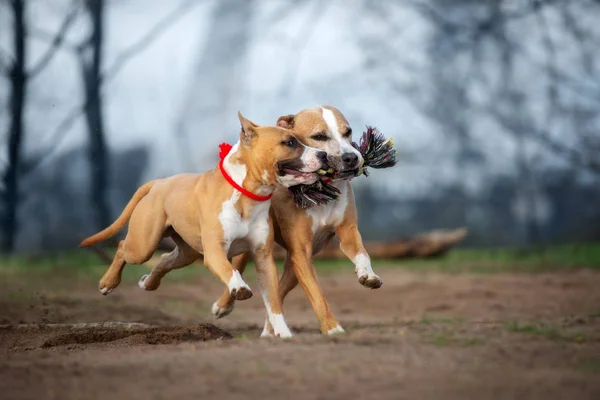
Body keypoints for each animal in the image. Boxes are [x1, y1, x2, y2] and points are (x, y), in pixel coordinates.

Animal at [79, 112, 328, 338]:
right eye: (289, 142)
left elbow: (273, 301)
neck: (247, 195)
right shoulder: (215, 251)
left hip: (185, 253)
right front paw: (239, 288)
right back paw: (108, 282)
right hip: (143, 244)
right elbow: (230, 269)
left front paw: (284, 333)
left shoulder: (264, 257)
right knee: (123, 247)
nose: (324, 154)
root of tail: (159, 183)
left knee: (164, 259)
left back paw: (148, 283)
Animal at [213, 104, 384, 336]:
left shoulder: (347, 231)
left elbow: (362, 254)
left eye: (348, 132)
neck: (321, 191)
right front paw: (333, 329)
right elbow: (317, 294)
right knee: (239, 268)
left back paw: (270, 330)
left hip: (293, 266)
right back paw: (223, 306)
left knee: (279, 290)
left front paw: (368, 275)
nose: (352, 157)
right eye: (319, 136)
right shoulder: (301, 251)